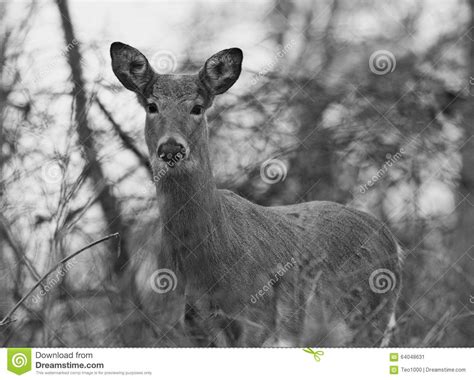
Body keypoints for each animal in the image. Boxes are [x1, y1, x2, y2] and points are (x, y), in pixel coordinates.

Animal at [109, 42, 402, 348]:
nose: (170, 148)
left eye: (197, 107)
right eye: (152, 106)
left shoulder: (258, 319)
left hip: (365, 317)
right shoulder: (194, 325)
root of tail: (393, 242)